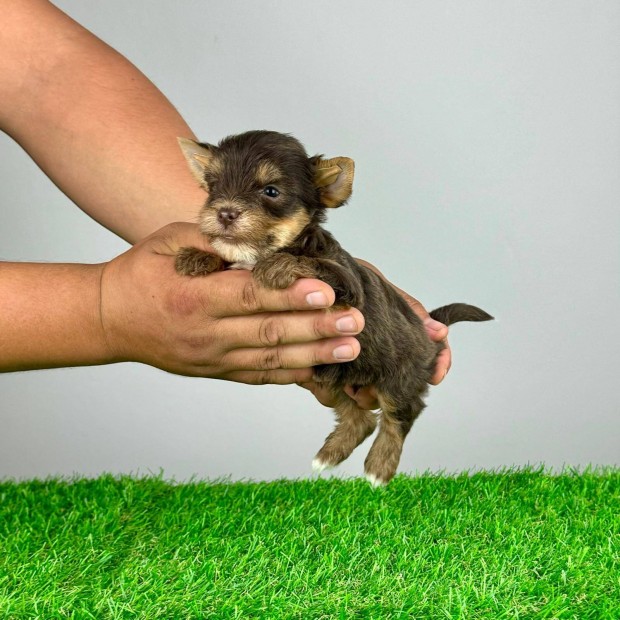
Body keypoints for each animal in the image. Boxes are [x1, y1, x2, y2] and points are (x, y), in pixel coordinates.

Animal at [176, 131, 494, 484]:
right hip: (329, 372)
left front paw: (278, 265)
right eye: (214, 187)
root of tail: (429, 336)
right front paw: (199, 257)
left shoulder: (346, 285)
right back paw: (328, 456)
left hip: (400, 375)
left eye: (270, 191)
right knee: (360, 417)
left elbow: (313, 264)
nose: (226, 213)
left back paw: (379, 469)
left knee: (399, 415)